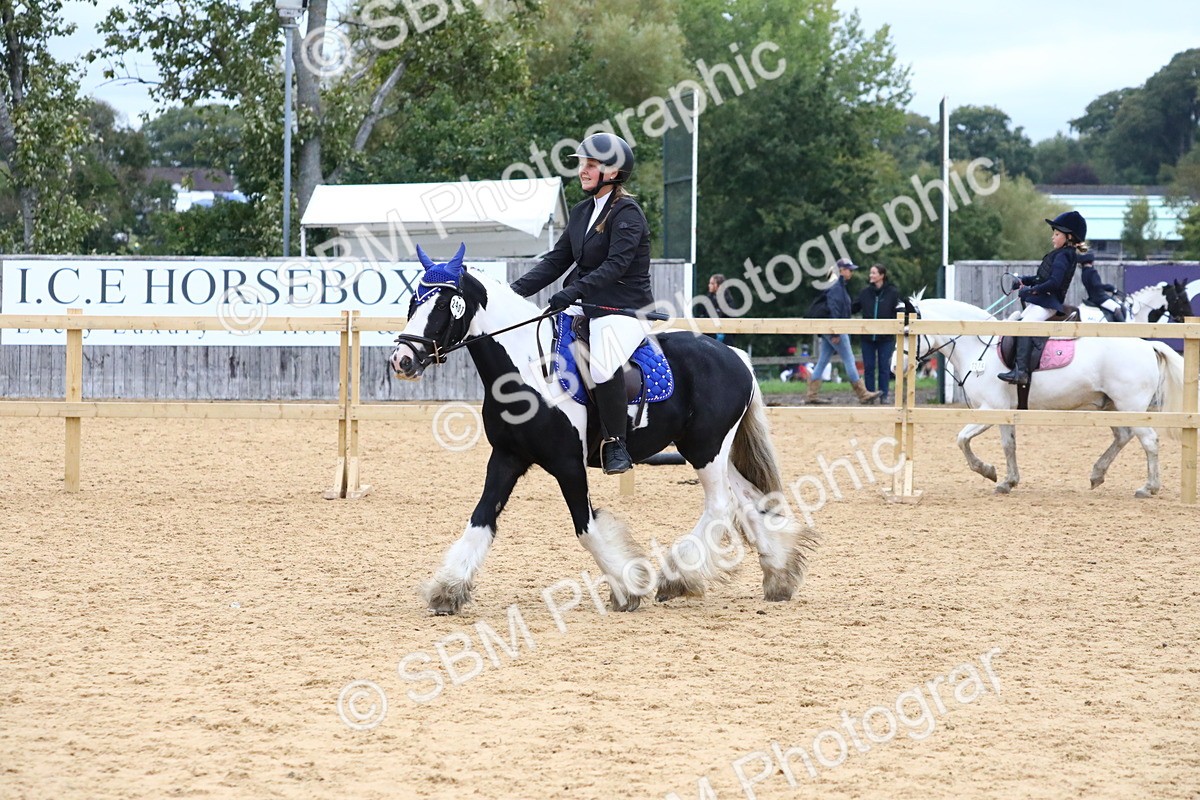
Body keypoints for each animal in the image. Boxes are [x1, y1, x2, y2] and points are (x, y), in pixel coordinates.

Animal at [389, 244, 813, 615]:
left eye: (443, 304)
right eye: (412, 302)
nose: (402, 360)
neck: (527, 369)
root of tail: (736, 357)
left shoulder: (568, 464)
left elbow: (587, 529)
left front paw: (630, 587)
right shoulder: (507, 458)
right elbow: (480, 520)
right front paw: (447, 589)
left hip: (705, 448)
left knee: (721, 505)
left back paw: (677, 576)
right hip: (708, 449)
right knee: (749, 500)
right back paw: (778, 575)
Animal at [907, 294, 1185, 498]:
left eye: (909, 331)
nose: (898, 367)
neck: (979, 346)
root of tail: (1148, 344)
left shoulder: (990, 409)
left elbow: (962, 439)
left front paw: (988, 471)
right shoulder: (1004, 412)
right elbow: (1008, 445)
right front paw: (1008, 481)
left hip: (1131, 407)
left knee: (1149, 441)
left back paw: (1148, 487)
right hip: (1112, 407)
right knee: (1123, 436)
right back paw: (1097, 474)